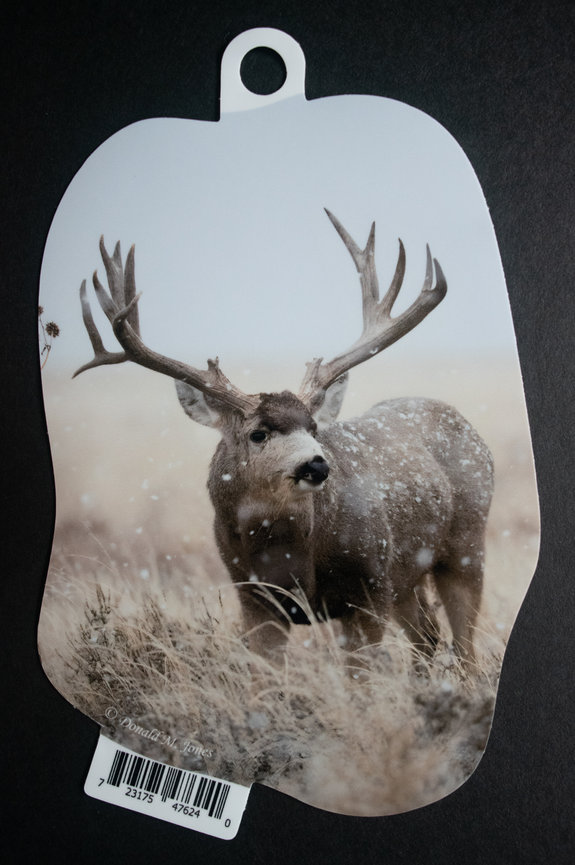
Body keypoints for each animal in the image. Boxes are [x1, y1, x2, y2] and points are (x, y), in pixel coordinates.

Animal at [74, 210, 494, 671]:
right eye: (258, 433)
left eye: (313, 428)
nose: (316, 464)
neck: (286, 553)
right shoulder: (253, 597)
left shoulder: (368, 584)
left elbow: (361, 676)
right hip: (407, 577)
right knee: (428, 637)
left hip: (465, 544)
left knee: (464, 644)